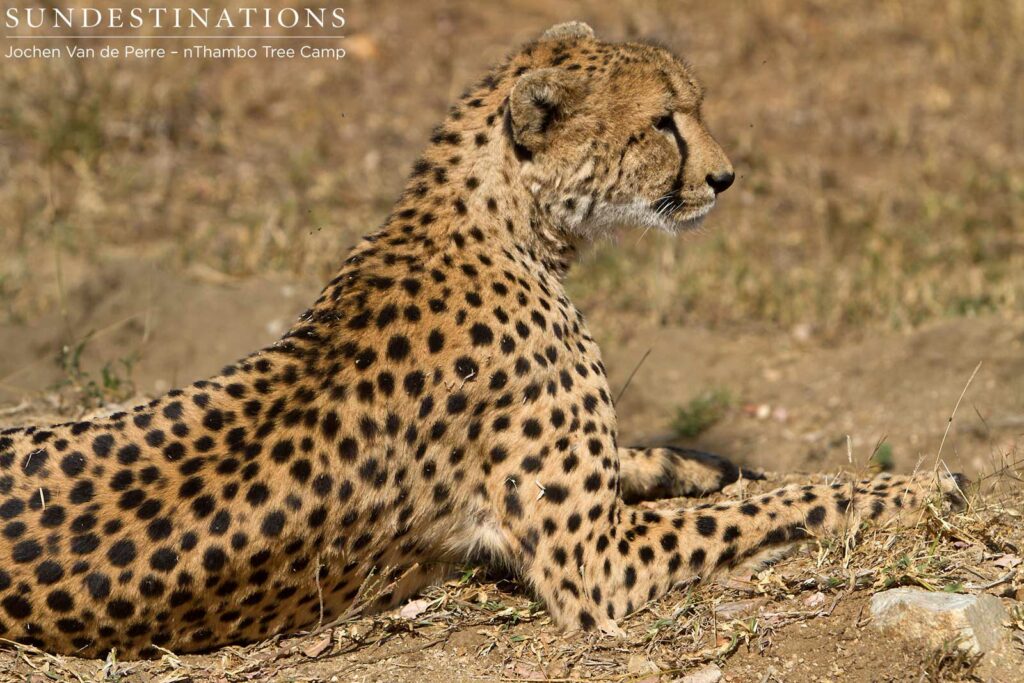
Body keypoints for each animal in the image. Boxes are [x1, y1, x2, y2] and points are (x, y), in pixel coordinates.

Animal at [0, 22, 965, 659]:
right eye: (664, 121)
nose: (726, 178)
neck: (502, 222)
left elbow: (665, 464)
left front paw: (702, 460)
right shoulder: (600, 566)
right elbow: (770, 505)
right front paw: (909, 486)